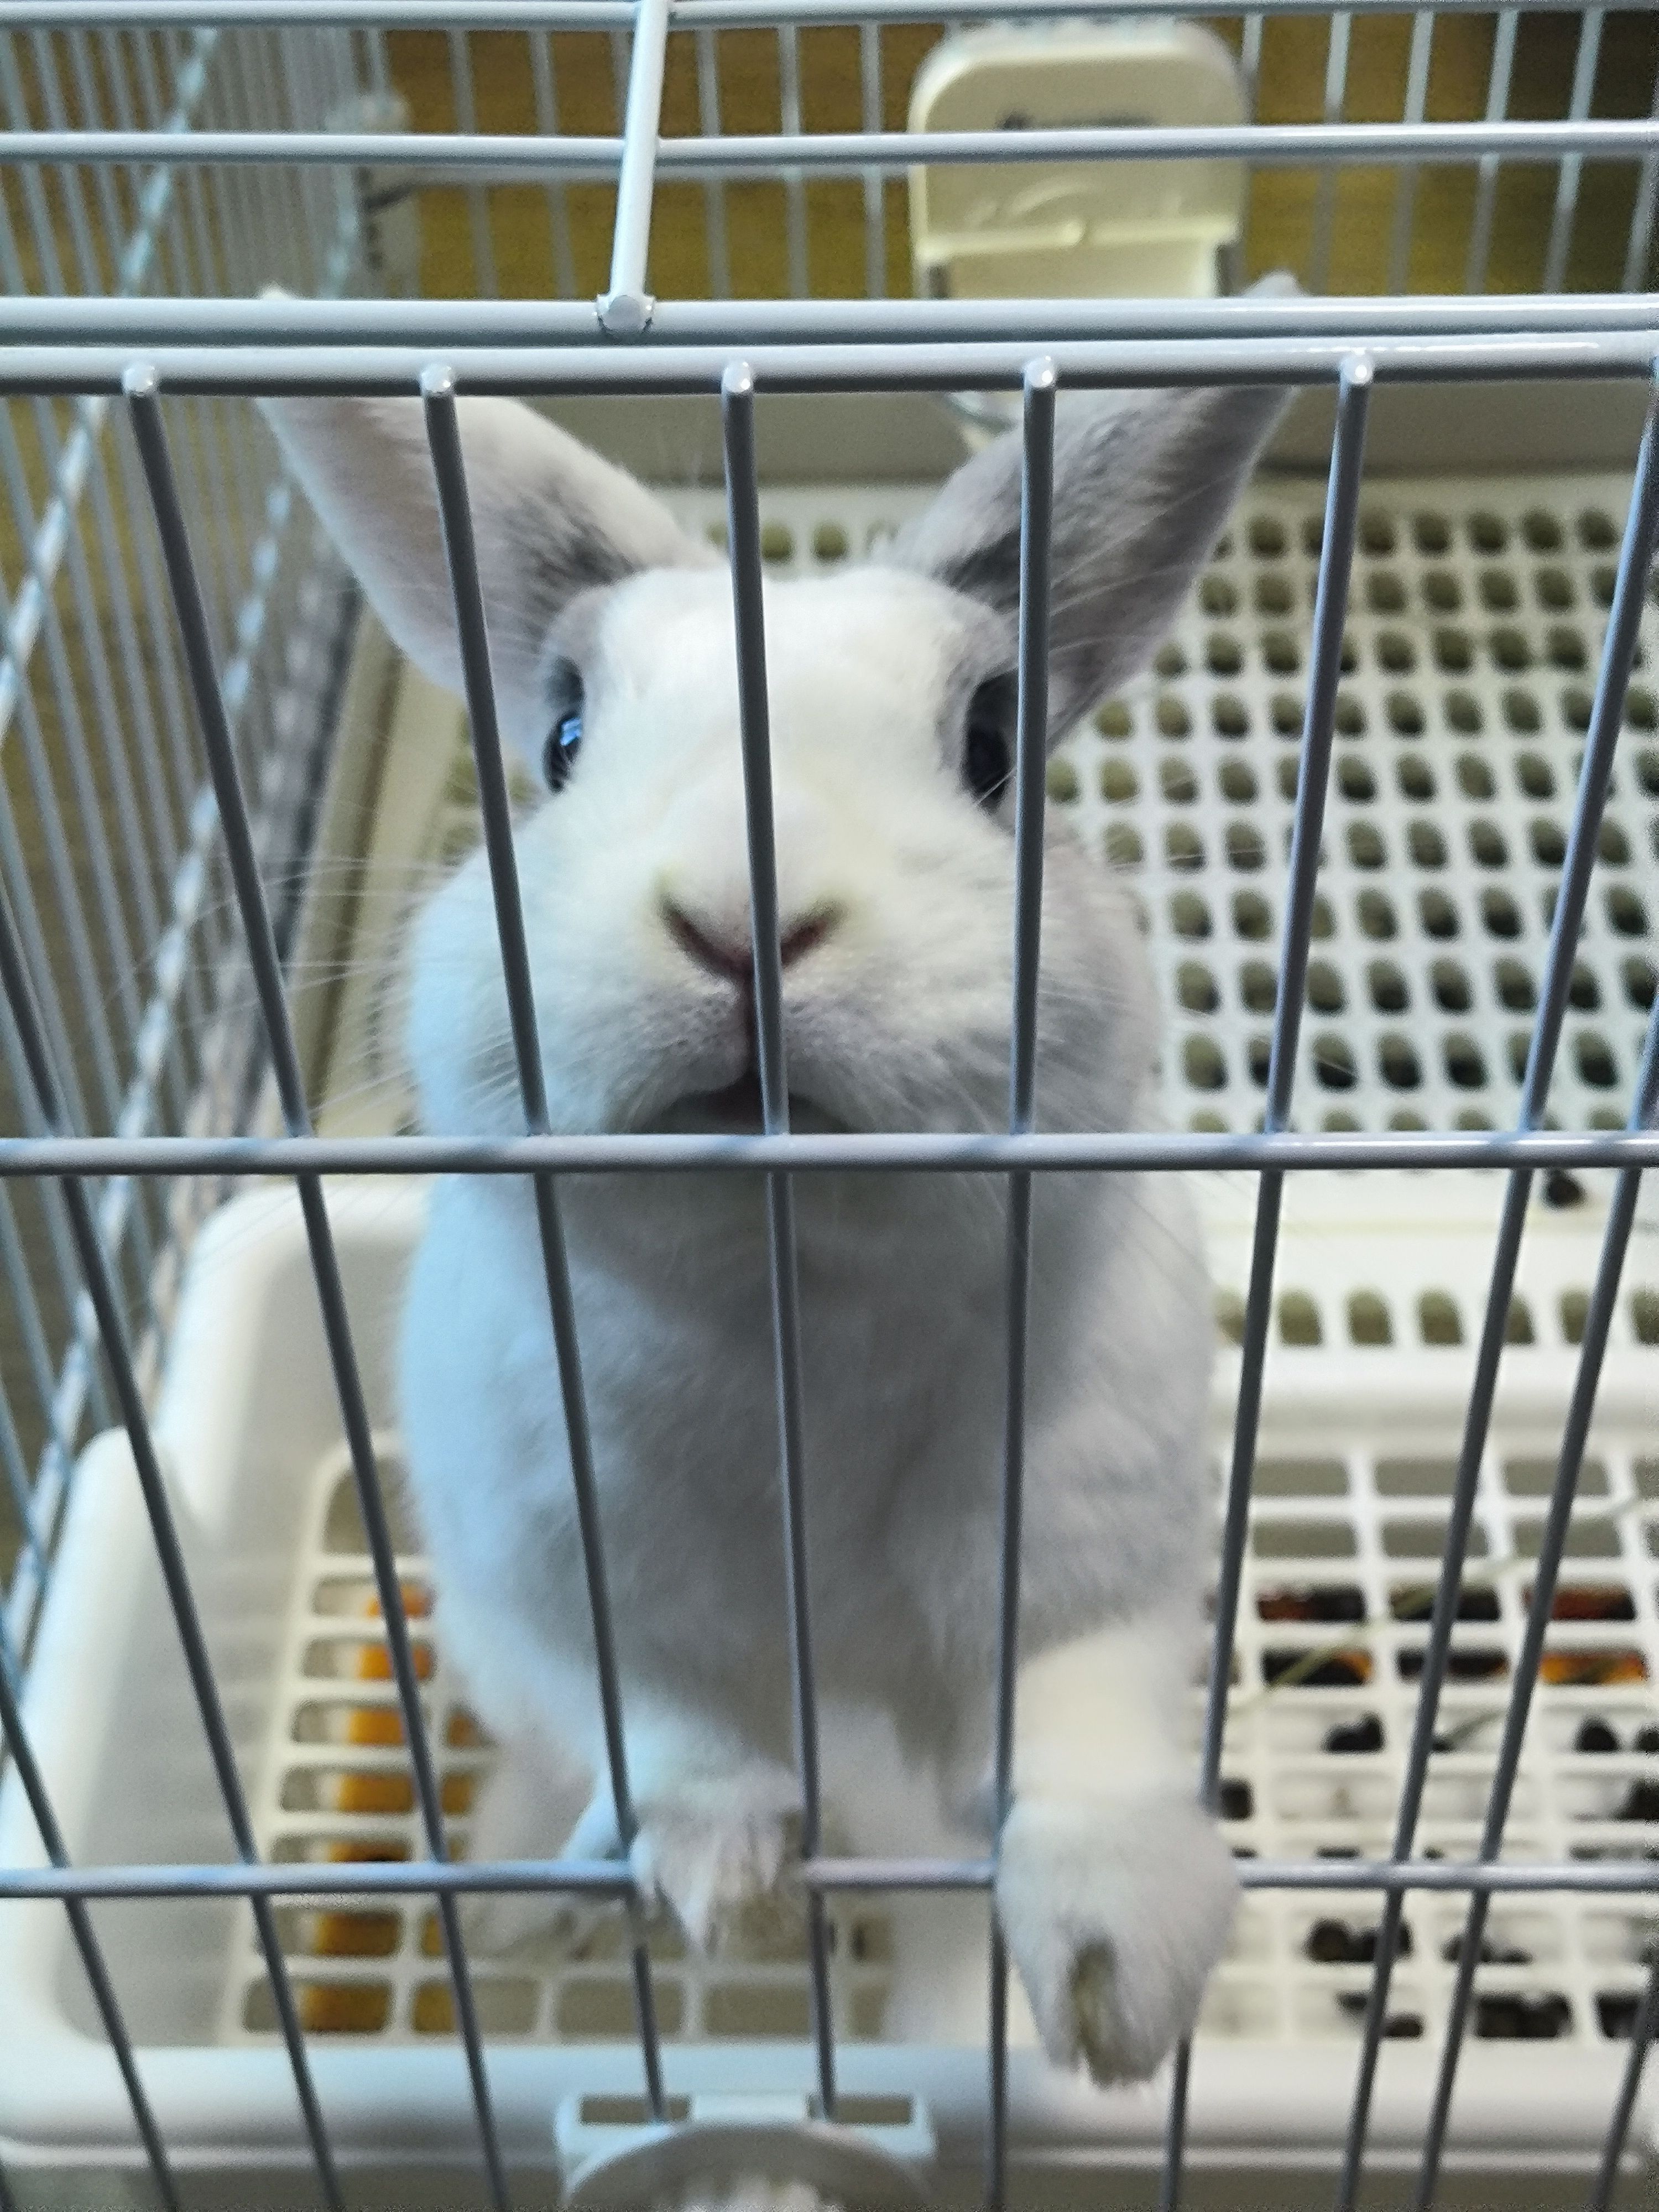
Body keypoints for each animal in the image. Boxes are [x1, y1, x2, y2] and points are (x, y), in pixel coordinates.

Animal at [260, 355, 1289, 2089]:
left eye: (993, 739)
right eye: (563, 733)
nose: (746, 913)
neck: (791, 1283)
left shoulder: (1096, 1557)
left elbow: (1083, 1733)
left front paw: (1116, 1997)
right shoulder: (570, 1593)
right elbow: (675, 1733)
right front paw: (717, 1879)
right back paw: (526, 1900)